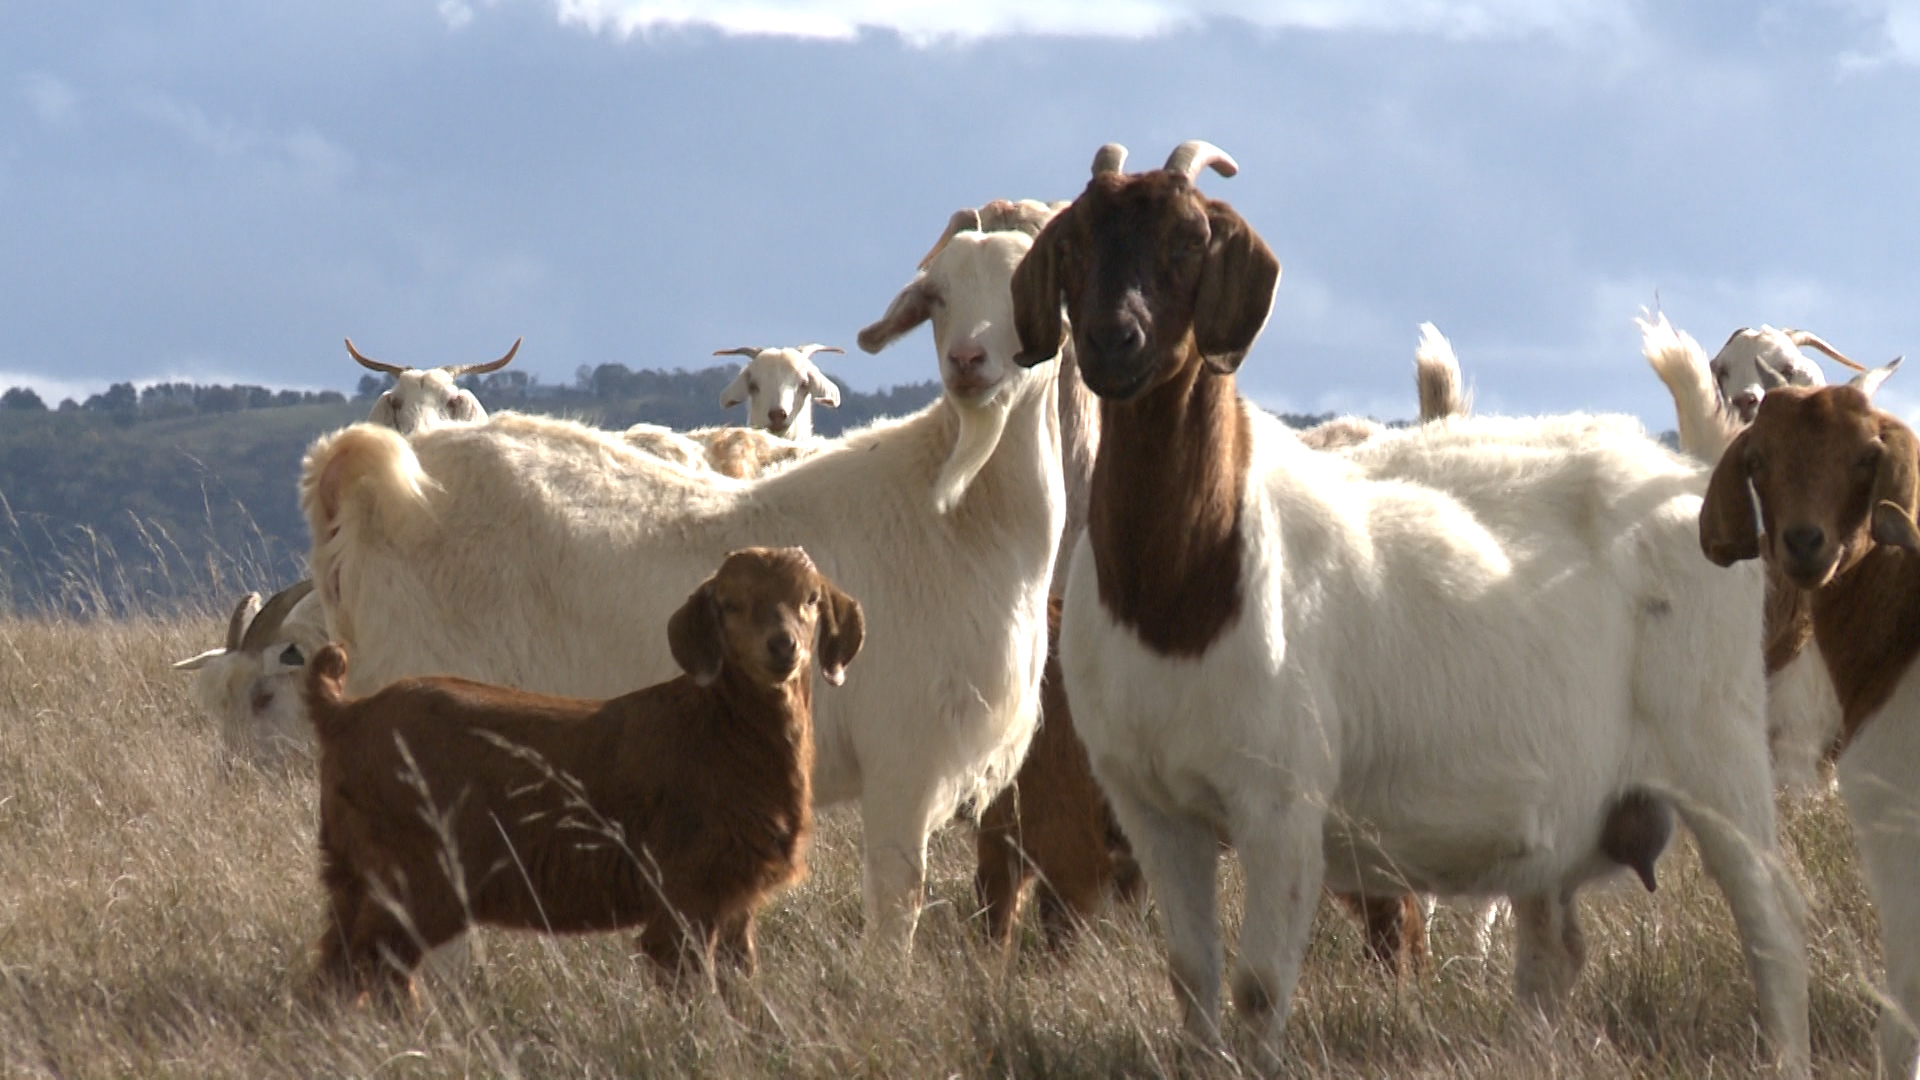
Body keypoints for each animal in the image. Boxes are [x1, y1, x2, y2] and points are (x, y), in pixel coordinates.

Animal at [305, 547, 862, 999]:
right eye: (731, 604)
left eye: (811, 599)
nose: (782, 646)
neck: (719, 729)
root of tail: (343, 714)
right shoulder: (683, 892)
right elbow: (690, 987)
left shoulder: (733, 898)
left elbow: (740, 981)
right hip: (417, 873)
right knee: (376, 966)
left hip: (349, 871)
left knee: (335, 968)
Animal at [1007, 139, 1807, 1070]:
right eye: (1073, 245)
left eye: (1189, 240)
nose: (1113, 340)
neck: (1183, 587)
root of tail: (1693, 478)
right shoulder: (1151, 806)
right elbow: (1191, 980)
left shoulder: (1282, 802)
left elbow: (1258, 989)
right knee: (1555, 954)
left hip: (1719, 752)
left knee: (1772, 928)